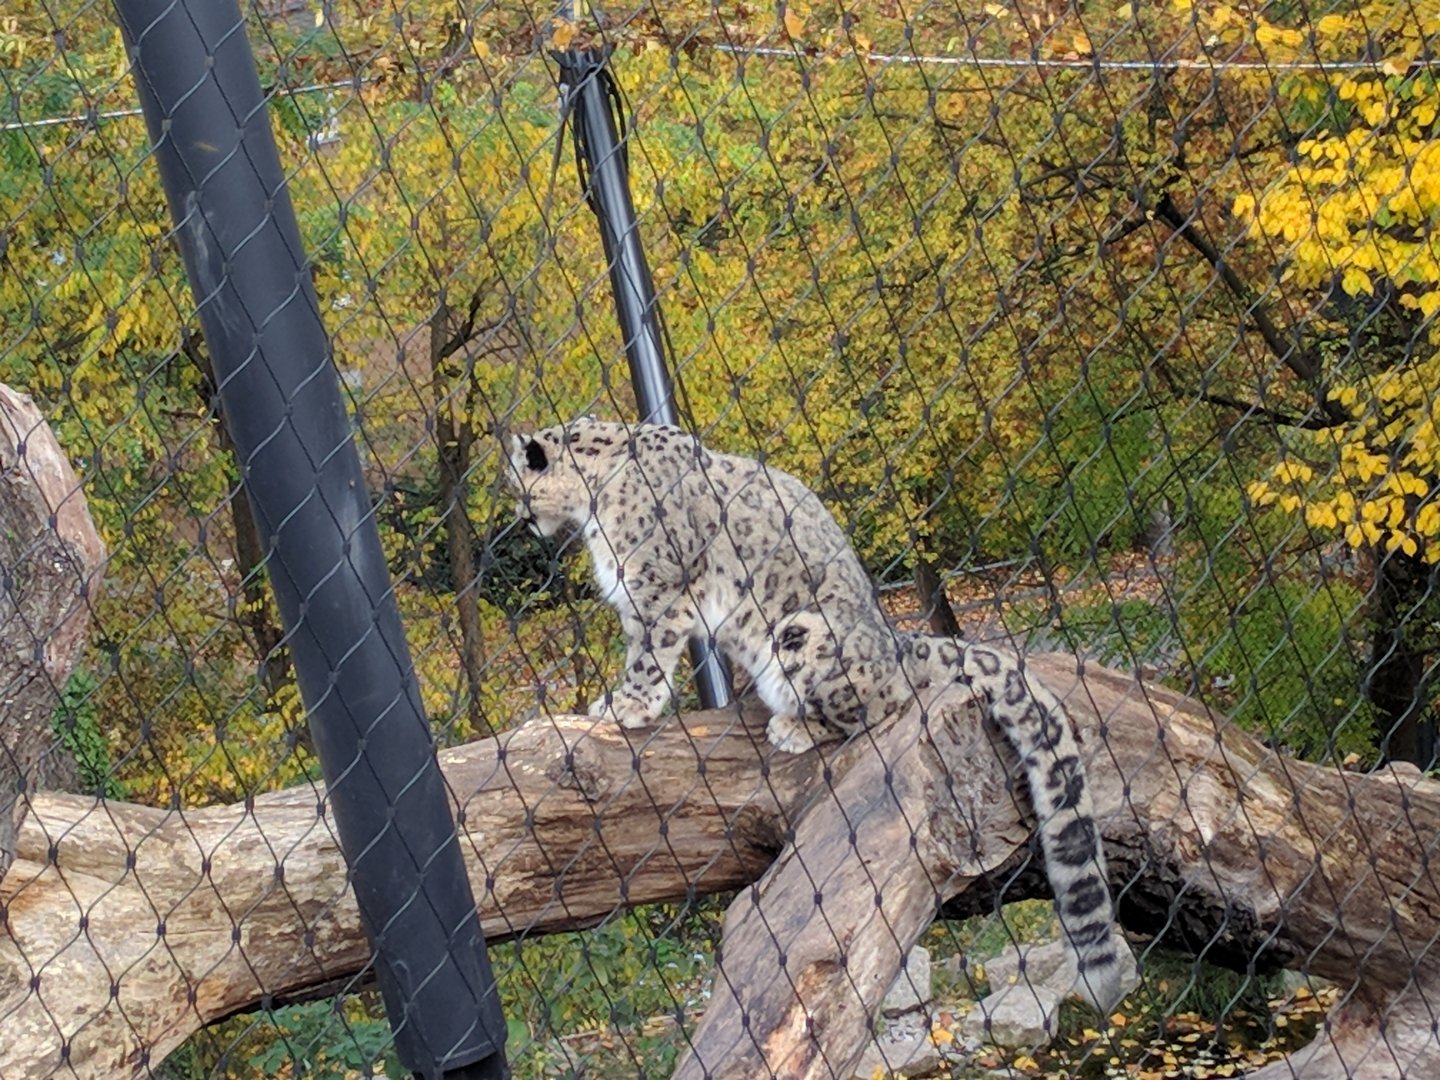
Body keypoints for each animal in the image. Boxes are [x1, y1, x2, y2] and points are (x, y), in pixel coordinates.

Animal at [504, 417, 1125, 1010]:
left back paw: (793, 725)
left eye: (517, 485)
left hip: (801, 634)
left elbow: (649, 654)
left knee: (879, 704)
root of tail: (897, 641)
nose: (519, 519)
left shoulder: (659, 589)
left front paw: (625, 705)